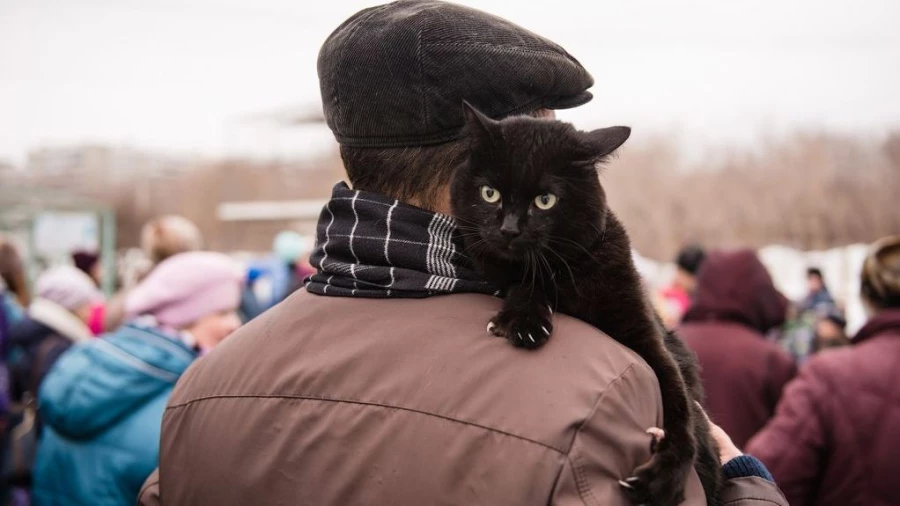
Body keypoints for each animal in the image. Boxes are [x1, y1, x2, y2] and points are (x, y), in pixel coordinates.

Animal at [450, 103, 724, 506]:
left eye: (545, 200)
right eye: (490, 193)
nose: (509, 229)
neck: (565, 275)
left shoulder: (646, 335)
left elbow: (680, 404)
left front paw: (666, 478)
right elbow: (522, 284)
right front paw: (525, 321)